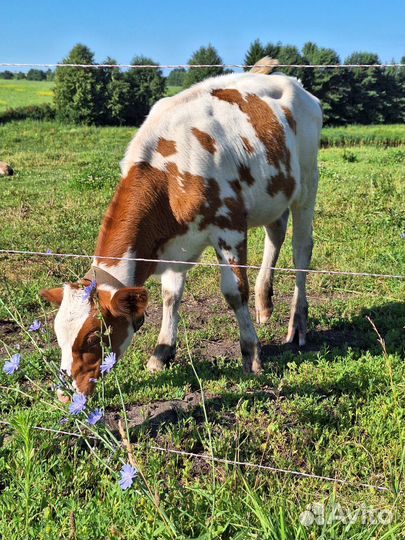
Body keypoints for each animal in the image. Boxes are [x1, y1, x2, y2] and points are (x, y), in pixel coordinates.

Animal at [41, 58, 322, 396]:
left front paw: (251, 354)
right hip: (274, 192)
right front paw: (161, 352)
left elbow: (234, 292)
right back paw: (264, 303)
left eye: (95, 335)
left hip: (307, 184)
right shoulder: (173, 244)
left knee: (301, 250)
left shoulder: (229, 227)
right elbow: (170, 295)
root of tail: (292, 82)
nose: (65, 394)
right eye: (58, 334)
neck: (167, 175)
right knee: (275, 234)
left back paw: (298, 323)